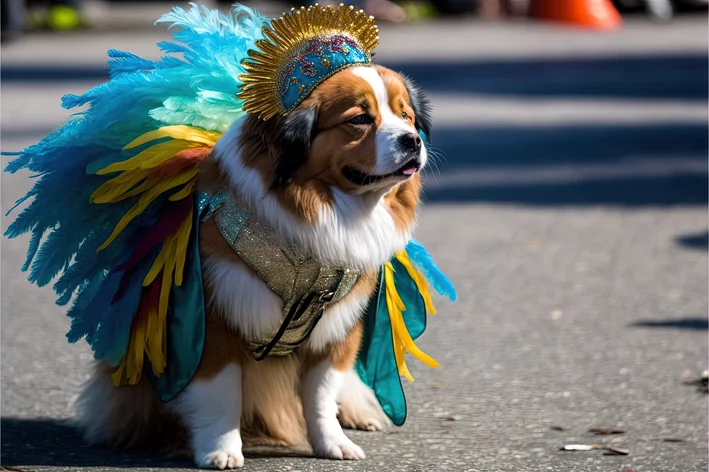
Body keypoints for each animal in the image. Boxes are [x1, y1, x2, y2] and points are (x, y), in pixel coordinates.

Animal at [74, 64, 434, 470]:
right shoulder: (214, 321)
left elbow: (321, 394)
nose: (412, 140)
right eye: (359, 119)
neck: (327, 209)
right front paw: (220, 449)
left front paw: (332, 443)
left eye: (405, 116)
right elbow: (222, 392)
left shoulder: (337, 328)